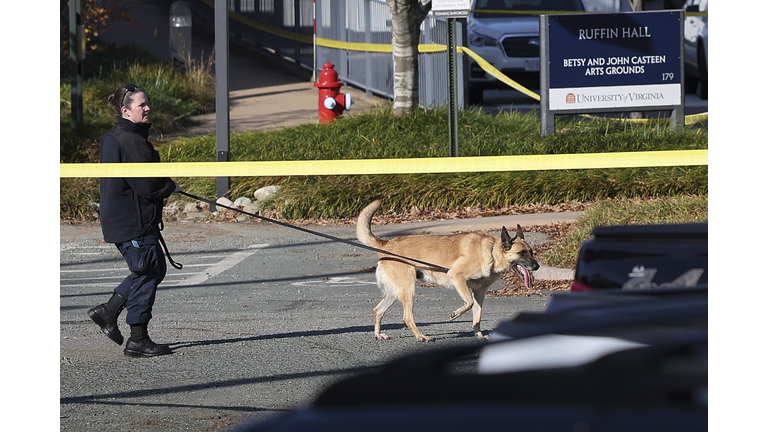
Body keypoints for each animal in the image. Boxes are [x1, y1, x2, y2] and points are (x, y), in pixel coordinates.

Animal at [356, 201, 540, 342]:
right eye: (521, 253)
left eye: (531, 252)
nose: (537, 266)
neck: (491, 252)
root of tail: (387, 244)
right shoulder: (457, 277)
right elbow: (469, 303)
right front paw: (456, 314)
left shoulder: (479, 292)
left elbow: (477, 316)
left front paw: (479, 335)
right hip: (408, 290)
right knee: (407, 317)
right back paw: (421, 337)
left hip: (395, 292)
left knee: (378, 310)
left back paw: (379, 334)